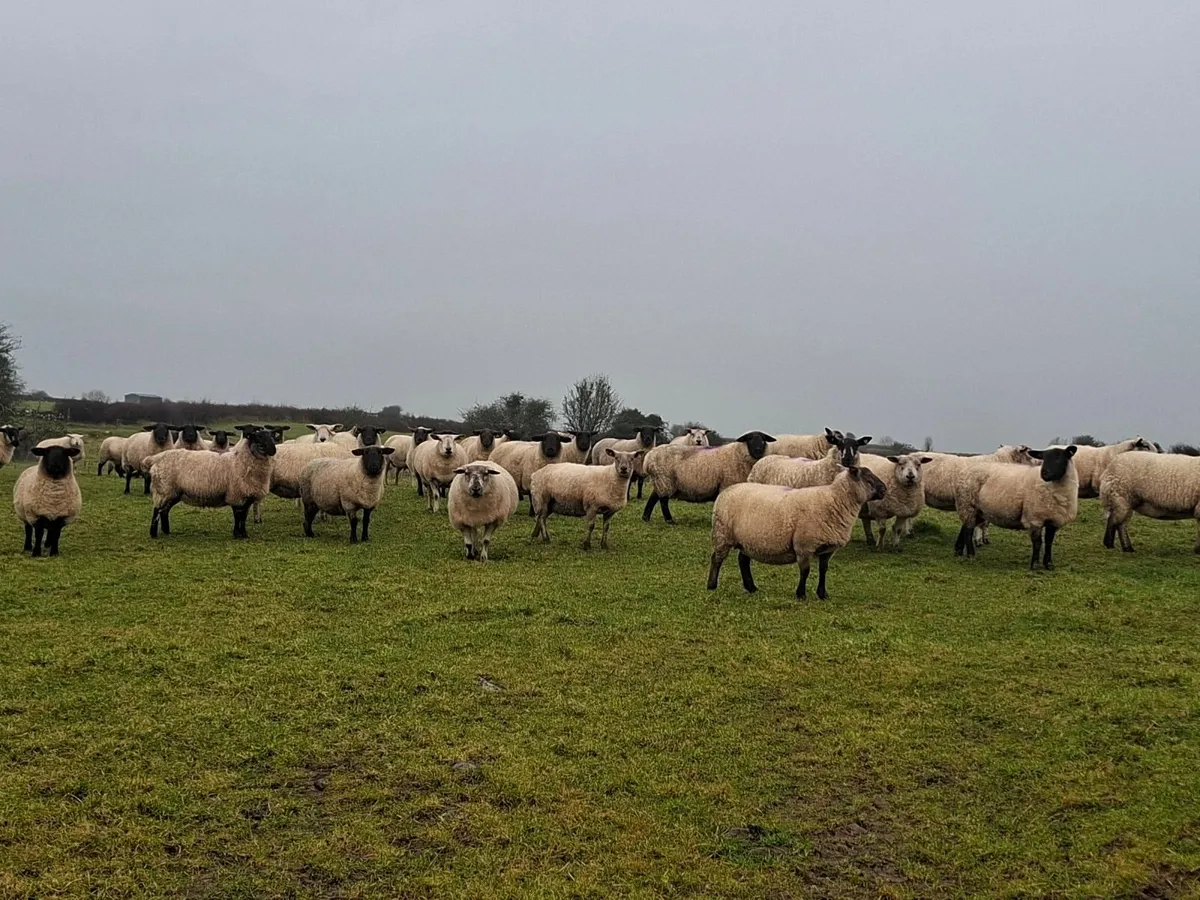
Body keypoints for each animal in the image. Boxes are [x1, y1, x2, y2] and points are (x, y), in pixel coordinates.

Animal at [147, 427, 278, 539]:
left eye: (271, 436)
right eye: (258, 437)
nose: (273, 450)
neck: (241, 461)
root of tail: (157, 458)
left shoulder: (247, 496)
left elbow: (243, 517)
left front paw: (244, 535)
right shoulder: (236, 494)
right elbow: (238, 516)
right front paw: (237, 534)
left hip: (174, 492)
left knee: (165, 511)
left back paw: (167, 531)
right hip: (164, 489)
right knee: (157, 510)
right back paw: (153, 534)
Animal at [642, 431, 778, 524]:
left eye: (763, 439)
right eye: (749, 439)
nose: (758, 450)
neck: (738, 454)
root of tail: (648, 458)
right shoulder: (726, 484)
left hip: (660, 481)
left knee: (653, 498)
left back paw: (646, 518)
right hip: (665, 480)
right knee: (663, 501)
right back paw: (670, 521)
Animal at [708, 465, 887, 600]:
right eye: (868, 479)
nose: (884, 489)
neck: (835, 500)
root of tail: (726, 491)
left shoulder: (828, 549)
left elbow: (823, 570)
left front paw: (822, 594)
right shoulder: (804, 546)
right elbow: (805, 571)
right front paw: (801, 594)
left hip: (747, 540)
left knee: (743, 561)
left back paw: (751, 587)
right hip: (722, 534)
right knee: (716, 559)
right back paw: (711, 585)